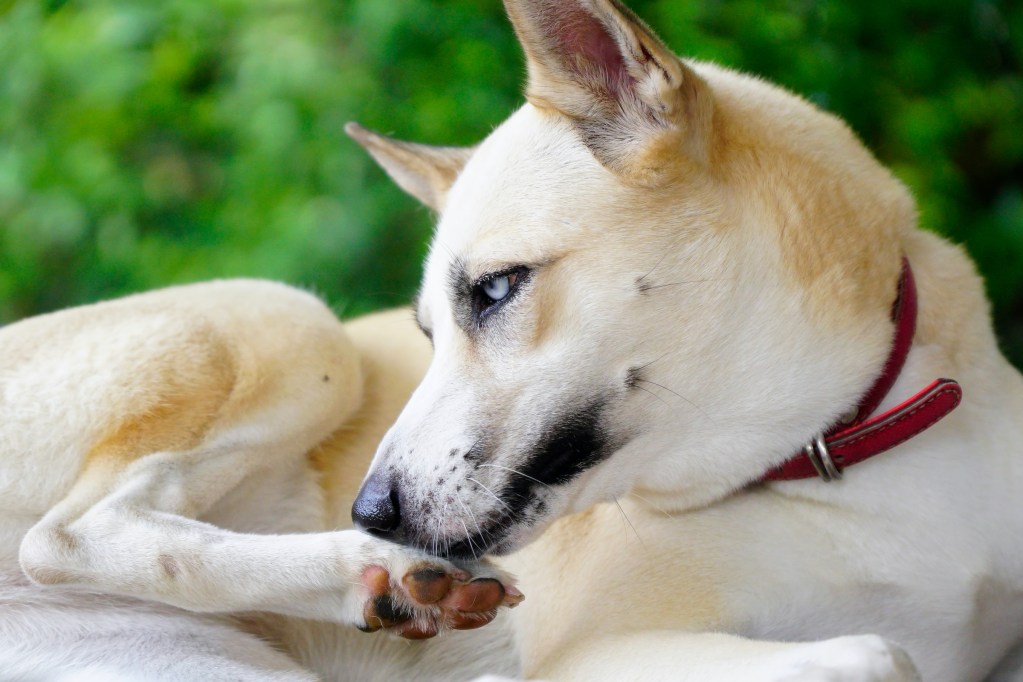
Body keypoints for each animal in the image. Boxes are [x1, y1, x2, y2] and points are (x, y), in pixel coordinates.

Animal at [345, 1, 1023, 682]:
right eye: (429, 334)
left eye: (496, 288)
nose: (370, 516)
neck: (839, 444)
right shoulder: (585, 656)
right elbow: (878, 651)